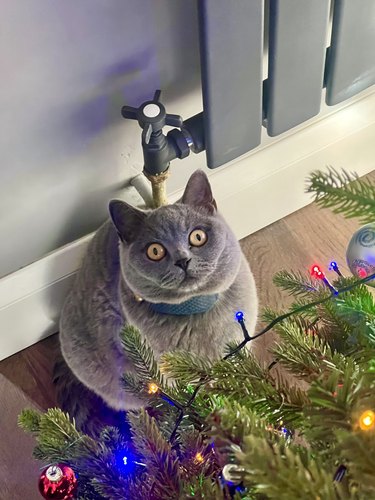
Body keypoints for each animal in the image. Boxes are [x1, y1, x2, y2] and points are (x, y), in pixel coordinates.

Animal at [58, 171, 258, 426]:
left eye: (198, 236)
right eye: (155, 251)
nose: (183, 260)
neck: (196, 312)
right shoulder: (166, 371)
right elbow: (189, 396)